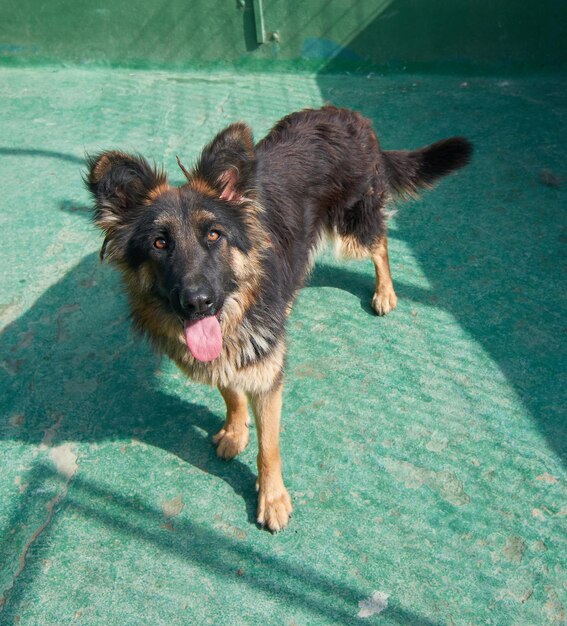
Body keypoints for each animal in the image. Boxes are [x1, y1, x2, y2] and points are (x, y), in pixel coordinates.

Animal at [86, 105, 472, 528]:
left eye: (214, 235)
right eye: (159, 243)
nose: (199, 303)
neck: (240, 305)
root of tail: (347, 114)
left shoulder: (267, 376)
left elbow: (268, 448)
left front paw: (272, 498)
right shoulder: (231, 354)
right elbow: (230, 392)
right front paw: (235, 429)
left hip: (354, 228)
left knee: (381, 242)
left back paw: (385, 291)